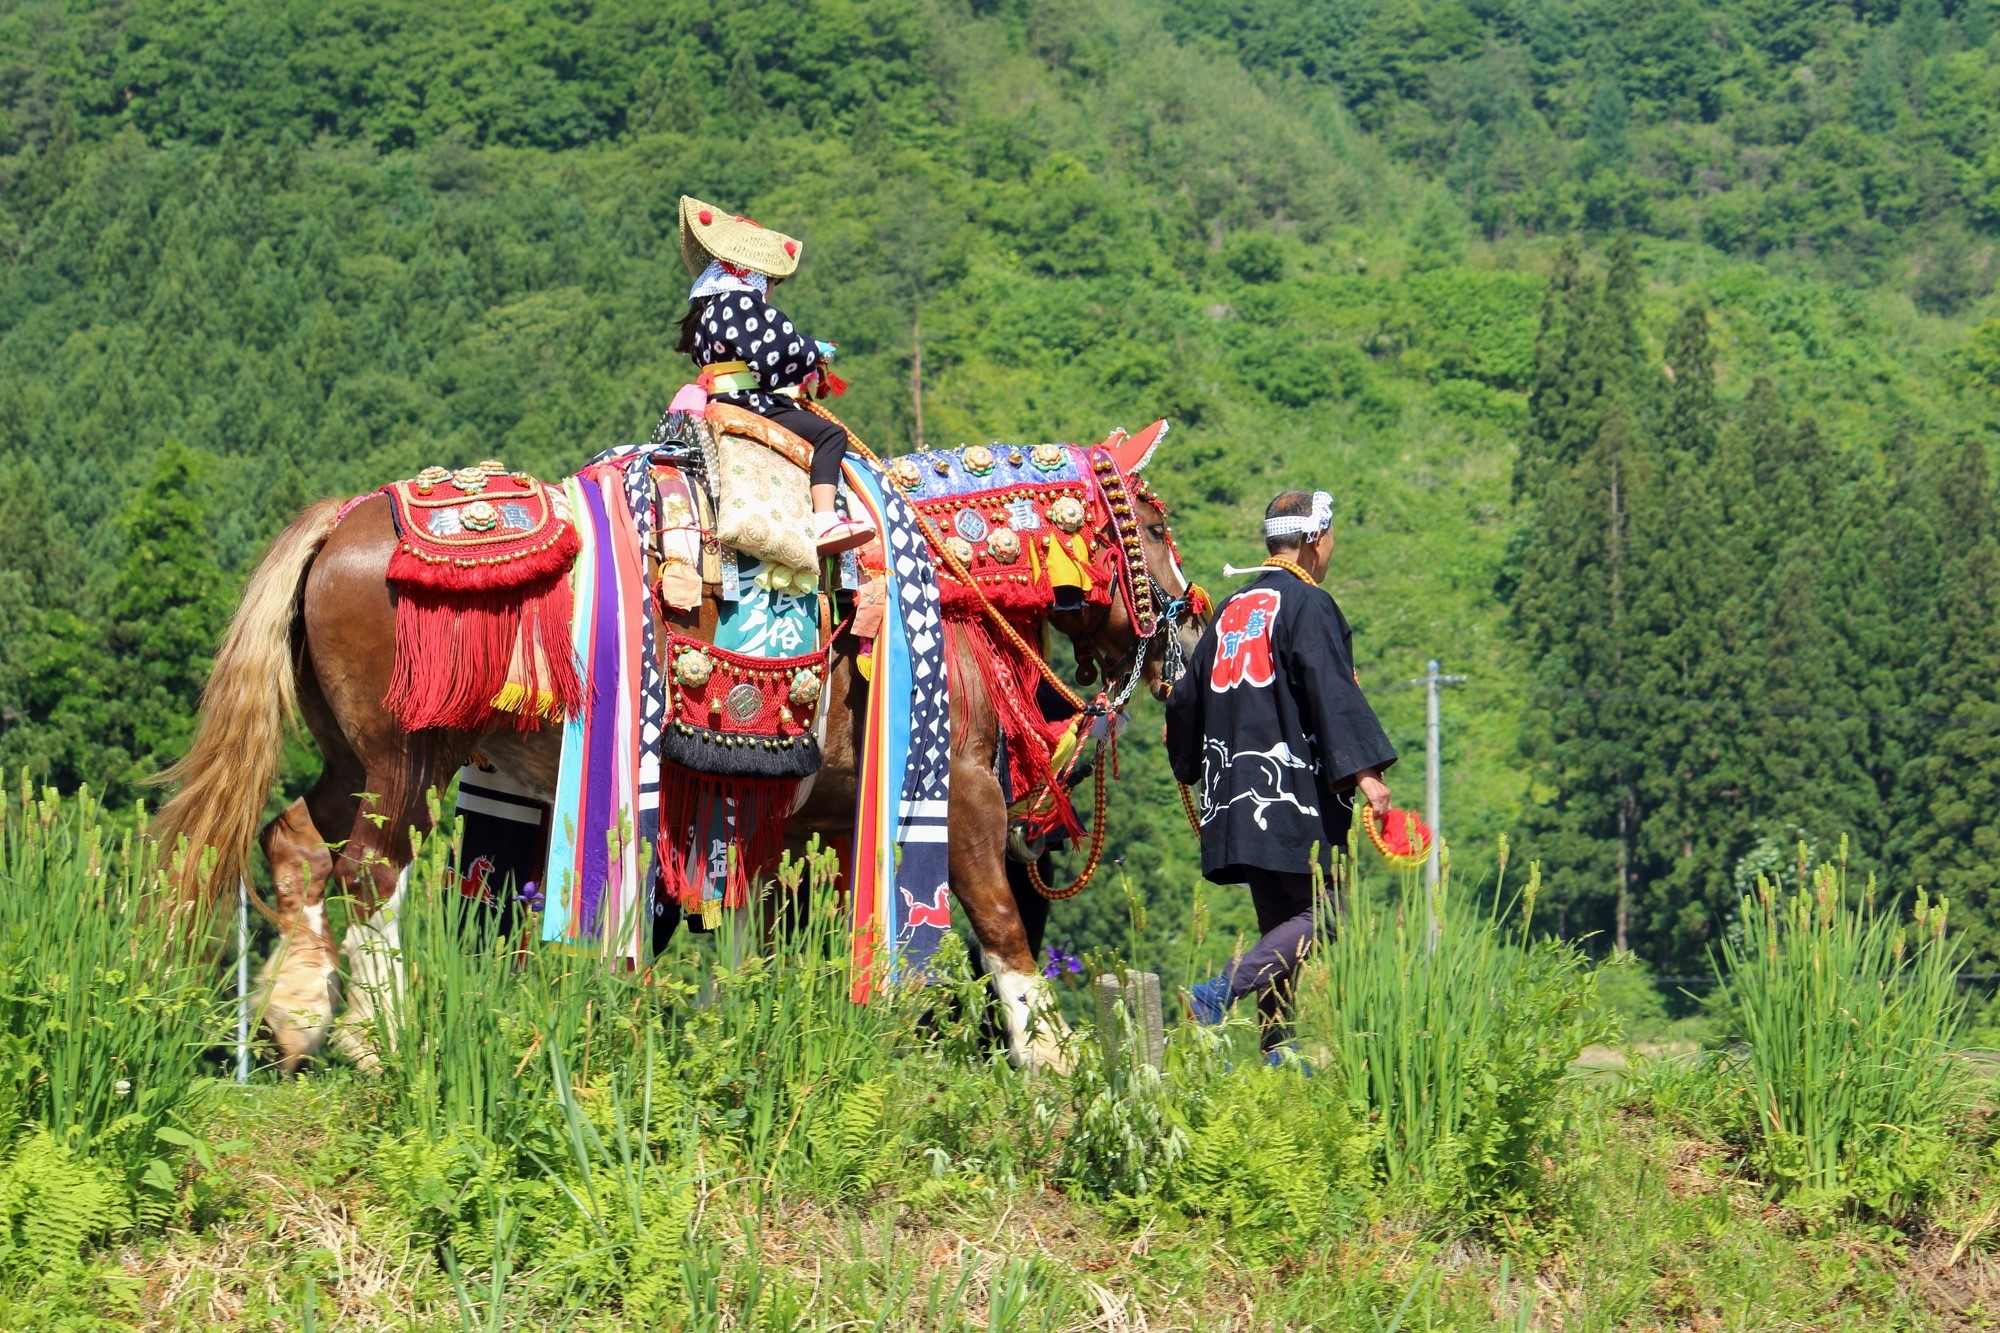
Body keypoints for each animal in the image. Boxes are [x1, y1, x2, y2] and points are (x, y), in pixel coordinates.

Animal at [152, 400, 1200, 1064]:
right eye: (1152, 522)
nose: (1187, 628)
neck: (937, 581)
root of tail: (346, 520)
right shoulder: (964, 791)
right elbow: (995, 917)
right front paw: (1053, 1057)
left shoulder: (799, 809)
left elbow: (754, 930)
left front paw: (736, 1027)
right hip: (409, 754)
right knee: (372, 870)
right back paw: (378, 1035)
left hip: (349, 753)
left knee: (295, 840)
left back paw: (295, 1017)